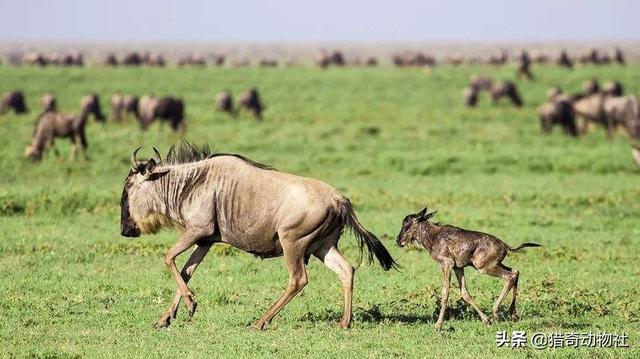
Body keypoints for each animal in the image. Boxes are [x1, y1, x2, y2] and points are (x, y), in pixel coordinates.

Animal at [396, 208, 540, 332]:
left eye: (407, 224)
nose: (398, 241)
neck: (433, 236)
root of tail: (505, 245)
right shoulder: (458, 268)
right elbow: (464, 293)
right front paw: (486, 320)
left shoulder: (446, 264)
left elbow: (445, 293)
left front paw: (438, 326)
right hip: (495, 264)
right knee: (515, 271)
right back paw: (513, 315)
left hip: (483, 267)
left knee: (510, 276)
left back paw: (496, 311)